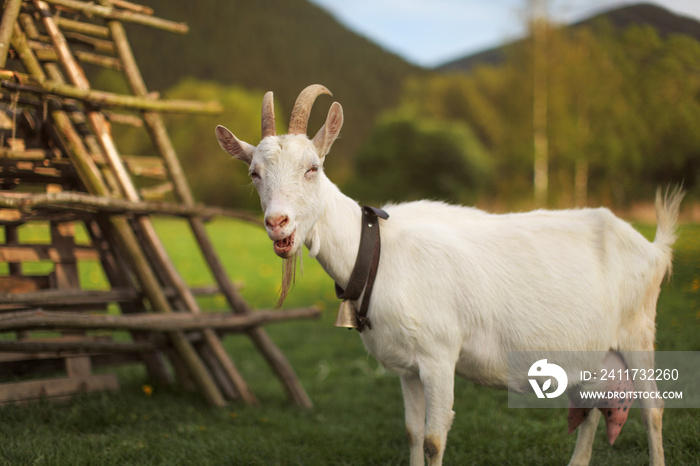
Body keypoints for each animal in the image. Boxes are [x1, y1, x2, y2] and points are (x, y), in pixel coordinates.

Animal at [215, 84, 684, 466]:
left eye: (312, 167)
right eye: (254, 172)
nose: (278, 224)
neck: (378, 250)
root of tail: (653, 248)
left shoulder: (439, 355)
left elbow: (433, 440)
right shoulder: (406, 368)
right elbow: (411, 433)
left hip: (638, 331)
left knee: (653, 407)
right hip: (592, 350)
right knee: (590, 408)